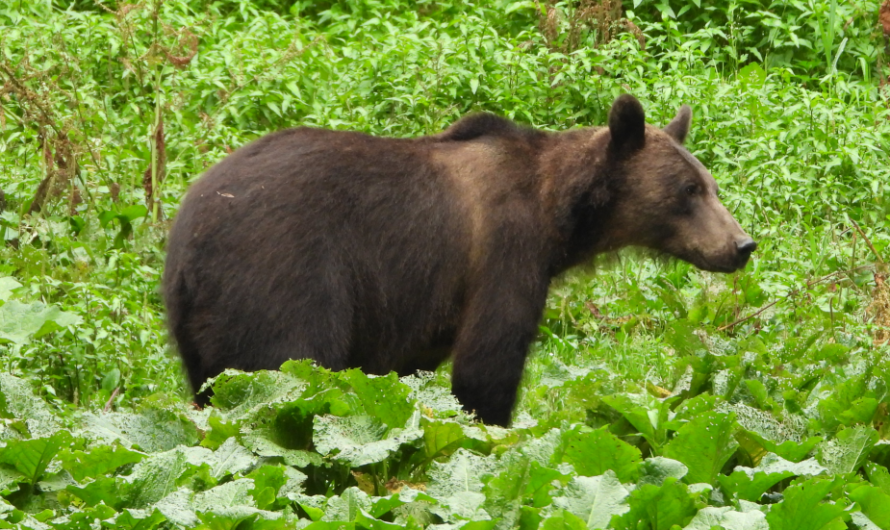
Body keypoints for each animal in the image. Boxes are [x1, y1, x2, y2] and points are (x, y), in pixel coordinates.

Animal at [163, 95, 752, 422]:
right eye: (688, 190)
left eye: (711, 185)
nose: (742, 245)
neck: (558, 213)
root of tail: (188, 232)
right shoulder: (505, 251)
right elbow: (486, 363)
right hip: (283, 273)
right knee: (286, 367)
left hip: (198, 323)